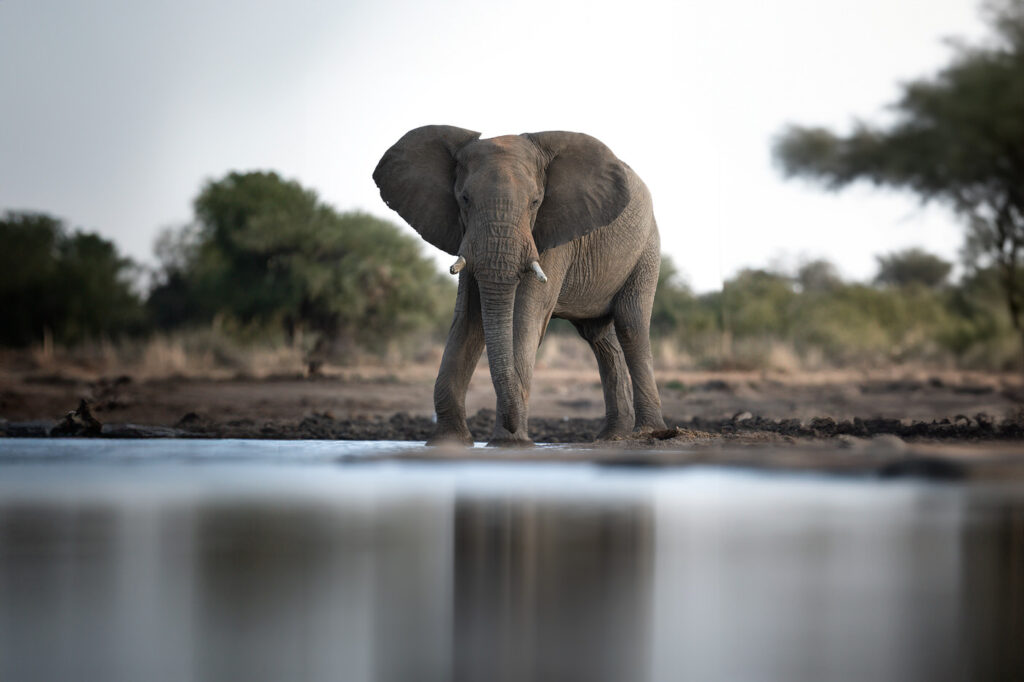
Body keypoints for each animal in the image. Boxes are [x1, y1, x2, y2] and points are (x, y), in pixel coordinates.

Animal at [373, 125, 666, 445]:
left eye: (535, 202)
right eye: (464, 199)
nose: (512, 425)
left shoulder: (553, 234)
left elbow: (523, 318)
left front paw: (509, 443)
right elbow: (469, 319)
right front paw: (447, 442)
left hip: (647, 248)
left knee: (630, 325)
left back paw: (648, 432)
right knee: (600, 338)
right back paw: (611, 437)